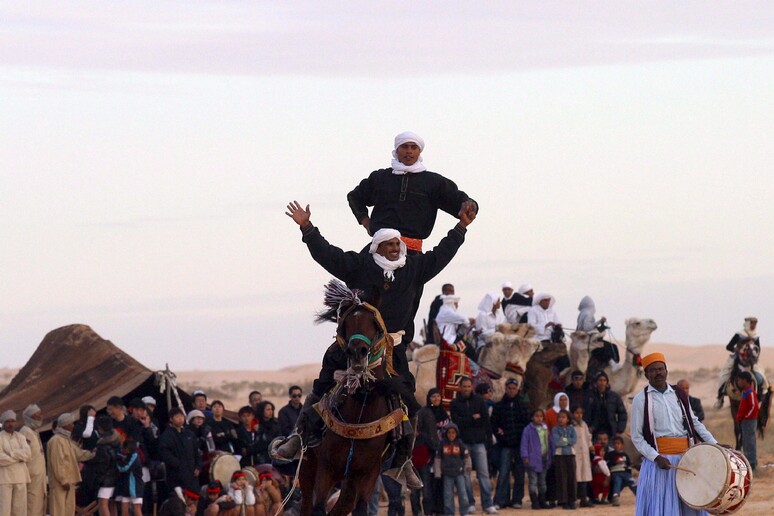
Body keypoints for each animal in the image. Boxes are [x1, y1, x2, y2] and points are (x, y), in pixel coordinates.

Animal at [298, 282, 404, 516]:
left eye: (373, 322)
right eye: (346, 324)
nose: (358, 352)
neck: (359, 415)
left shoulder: (367, 474)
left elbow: (361, 507)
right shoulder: (326, 470)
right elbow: (319, 508)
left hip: (348, 482)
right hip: (309, 470)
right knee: (307, 505)